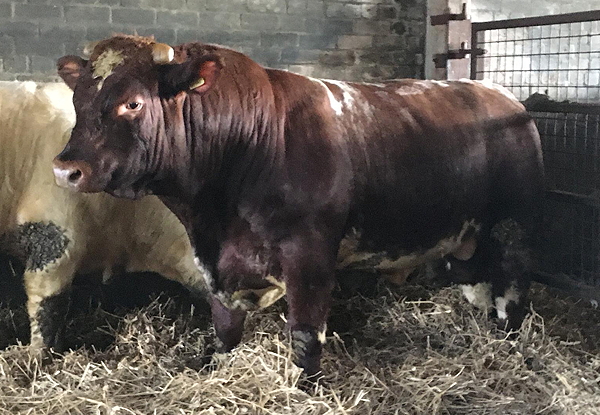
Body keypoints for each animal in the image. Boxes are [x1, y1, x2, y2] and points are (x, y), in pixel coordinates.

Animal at [52, 36, 544, 380]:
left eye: (132, 103)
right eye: (78, 100)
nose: (65, 169)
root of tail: (503, 96)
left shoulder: (309, 254)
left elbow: (306, 333)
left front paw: (305, 385)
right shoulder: (216, 259)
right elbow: (224, 324)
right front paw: (217, 366)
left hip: (515, 225)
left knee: (513, 285)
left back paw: (509, 339)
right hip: (467, 233)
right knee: (477, 279)